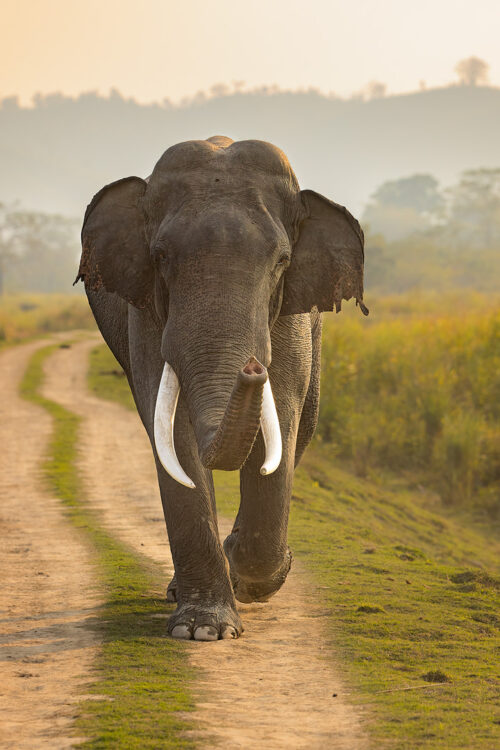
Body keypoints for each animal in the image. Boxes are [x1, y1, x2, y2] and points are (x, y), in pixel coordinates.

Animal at [77, 134, 368, 640]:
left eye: (282, 262)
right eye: (159, 257)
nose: (250, 370)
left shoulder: (289, 317)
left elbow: (283, 416)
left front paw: (249, 581)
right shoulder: (146, 315)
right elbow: (172, 431)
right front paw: (201, 630)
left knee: (305, 423)